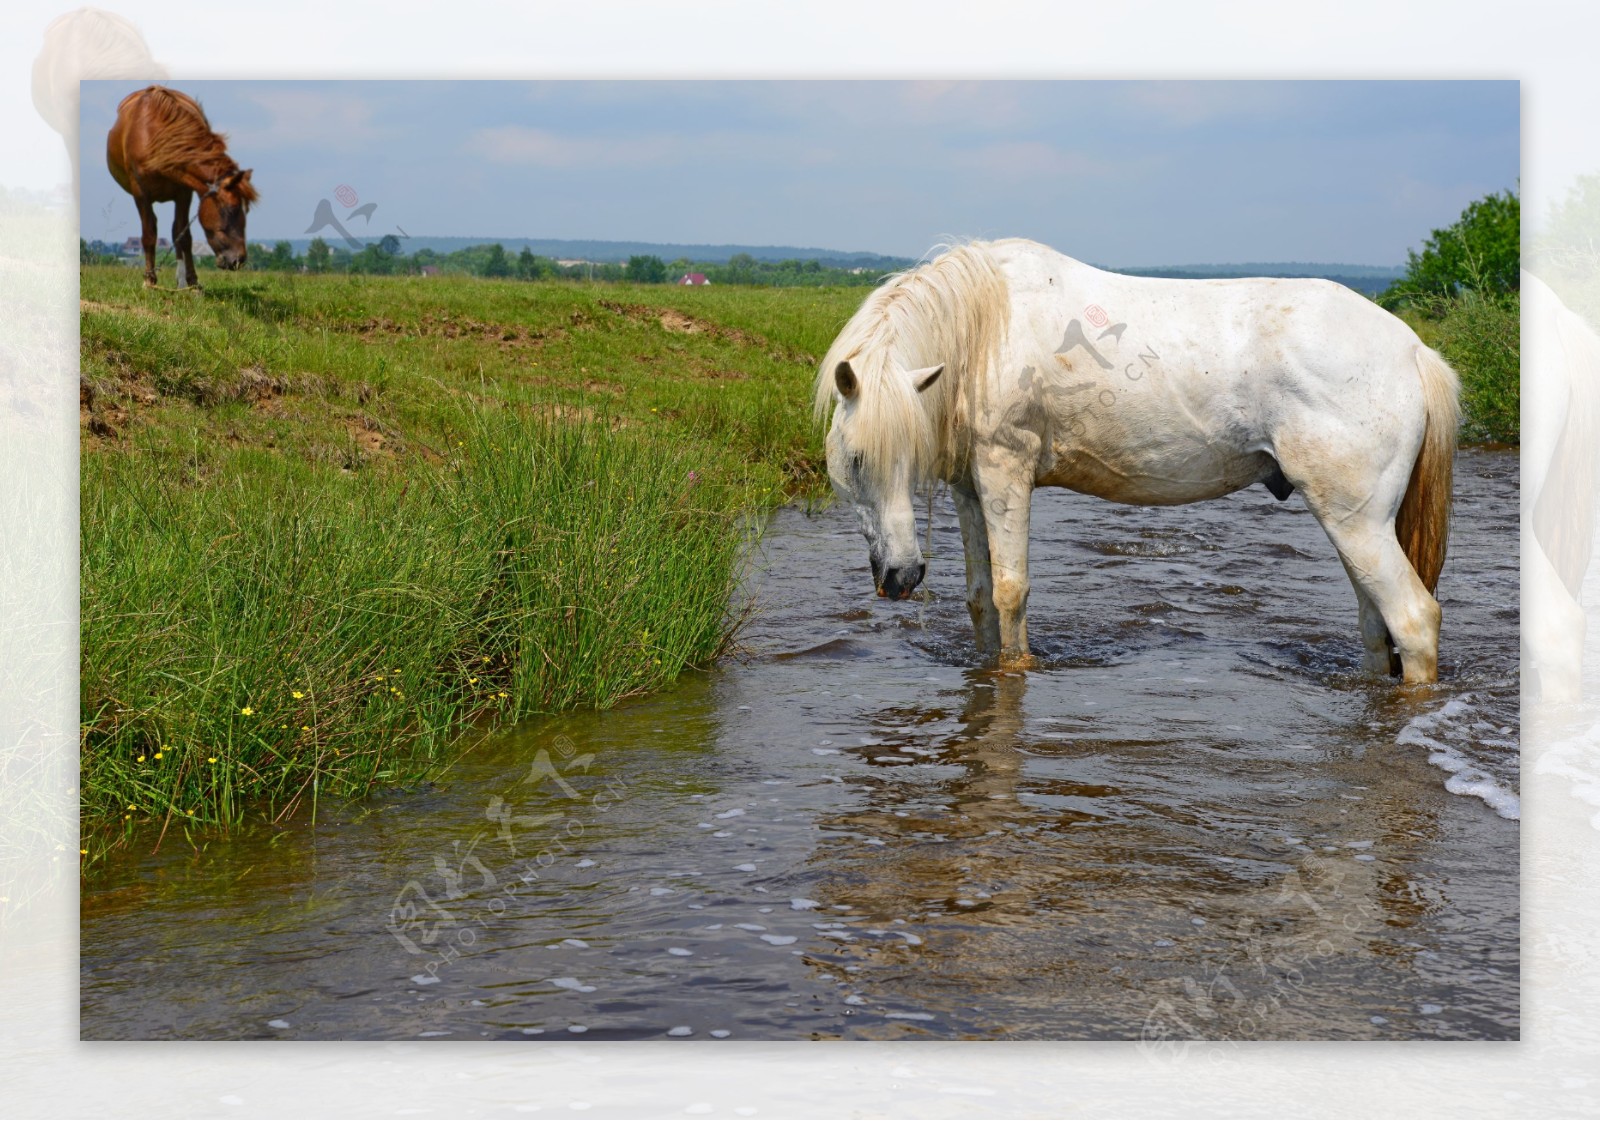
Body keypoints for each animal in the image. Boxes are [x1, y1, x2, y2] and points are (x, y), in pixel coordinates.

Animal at [106, 85, 254, 291]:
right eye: (232, 209)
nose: (238, 260)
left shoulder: (184, 193)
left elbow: (184, 237)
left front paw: (193, 283)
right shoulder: (141, 194)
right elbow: (149, 234)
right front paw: (149, 281)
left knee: (176, 232)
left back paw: (181, 281)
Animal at [819, 238, 1459, 681]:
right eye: (856, 463)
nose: (901, 579)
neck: (985, 332)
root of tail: (1412, 350)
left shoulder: (1007, 472)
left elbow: (1009, 592)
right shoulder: (971, 488)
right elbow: (980, 598)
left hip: (1357, 521)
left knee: (1413, 619)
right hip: (1354, 524)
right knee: (1375, 623)